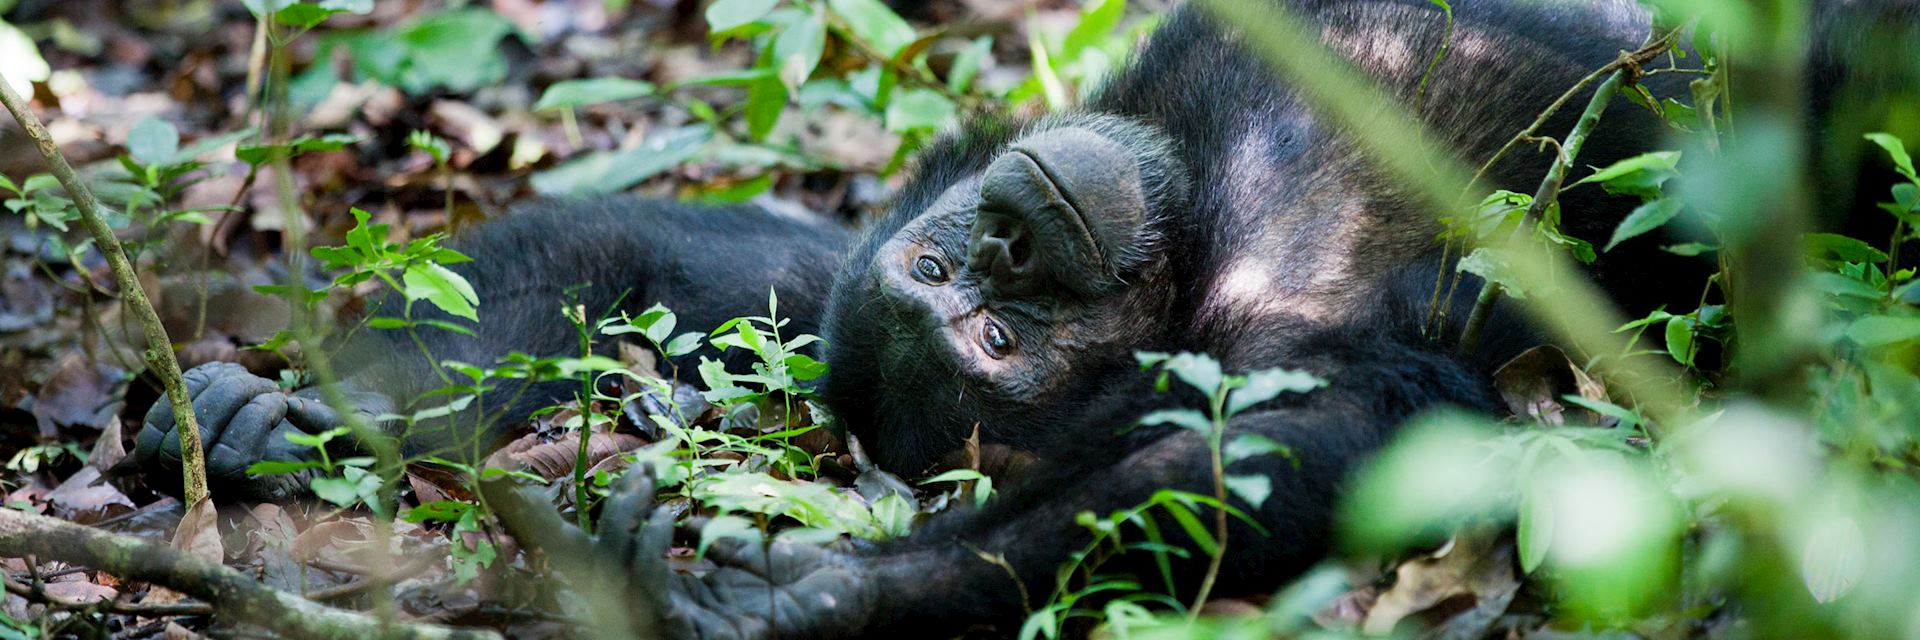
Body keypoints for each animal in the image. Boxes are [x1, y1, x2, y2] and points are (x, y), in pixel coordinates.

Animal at [131, 0, 1904, 634]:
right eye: (983, 339)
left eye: (958, 277)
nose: (1014, 245)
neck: (1200, 219)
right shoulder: (1277, 348)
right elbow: (1293, 447)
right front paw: (793, 600)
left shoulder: (808, 282)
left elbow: (646, 253)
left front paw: (280, 414)